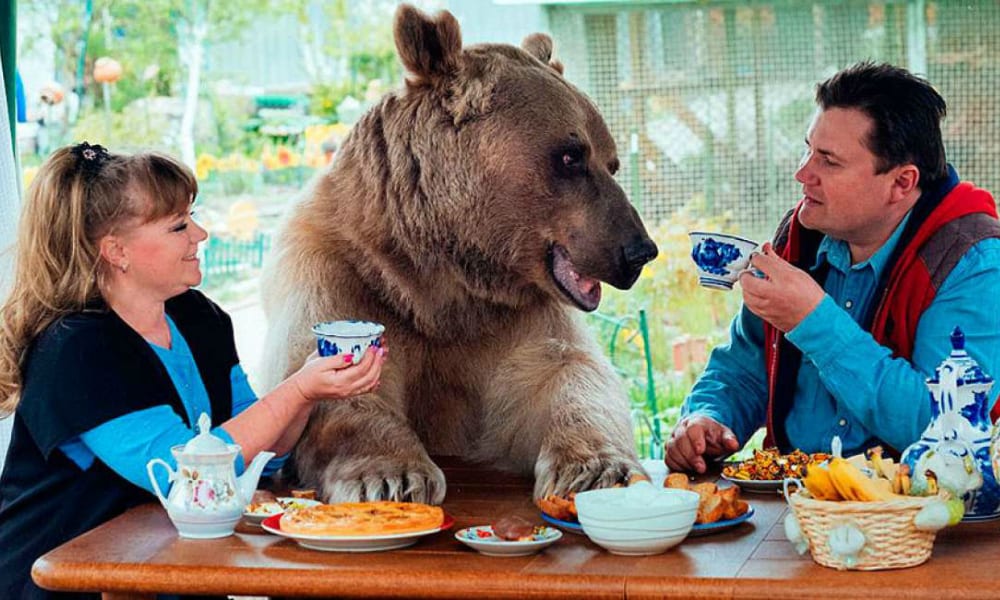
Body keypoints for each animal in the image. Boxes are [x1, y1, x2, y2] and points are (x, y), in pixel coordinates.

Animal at [262, 4, 660, 504]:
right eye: (571, 155)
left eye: (611, 162)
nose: (639, 250)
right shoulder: (342, 273)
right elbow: (332, 381)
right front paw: (392, 476)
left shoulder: (513, 318)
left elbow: (566, 375)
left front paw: (598, 469)